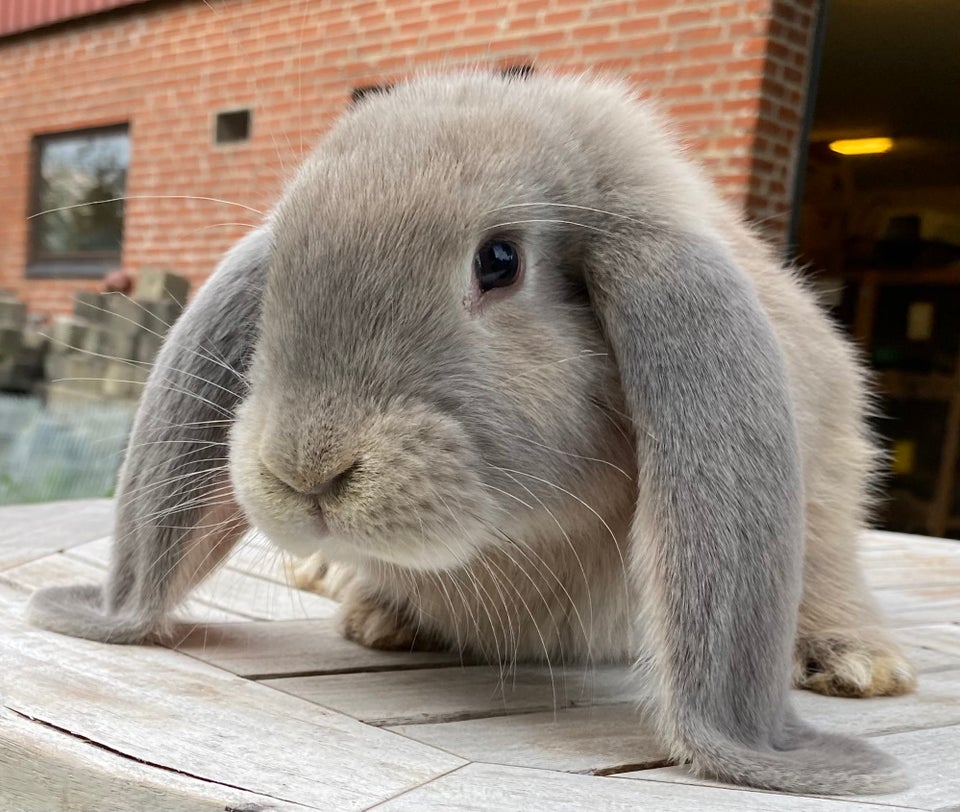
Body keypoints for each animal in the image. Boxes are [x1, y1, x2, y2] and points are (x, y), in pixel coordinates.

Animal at [28, 70, 916, 792]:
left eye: (499, 261)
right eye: (279, 271)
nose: (307, 468)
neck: (511, 551)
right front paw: (375, 610)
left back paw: (855, 661)